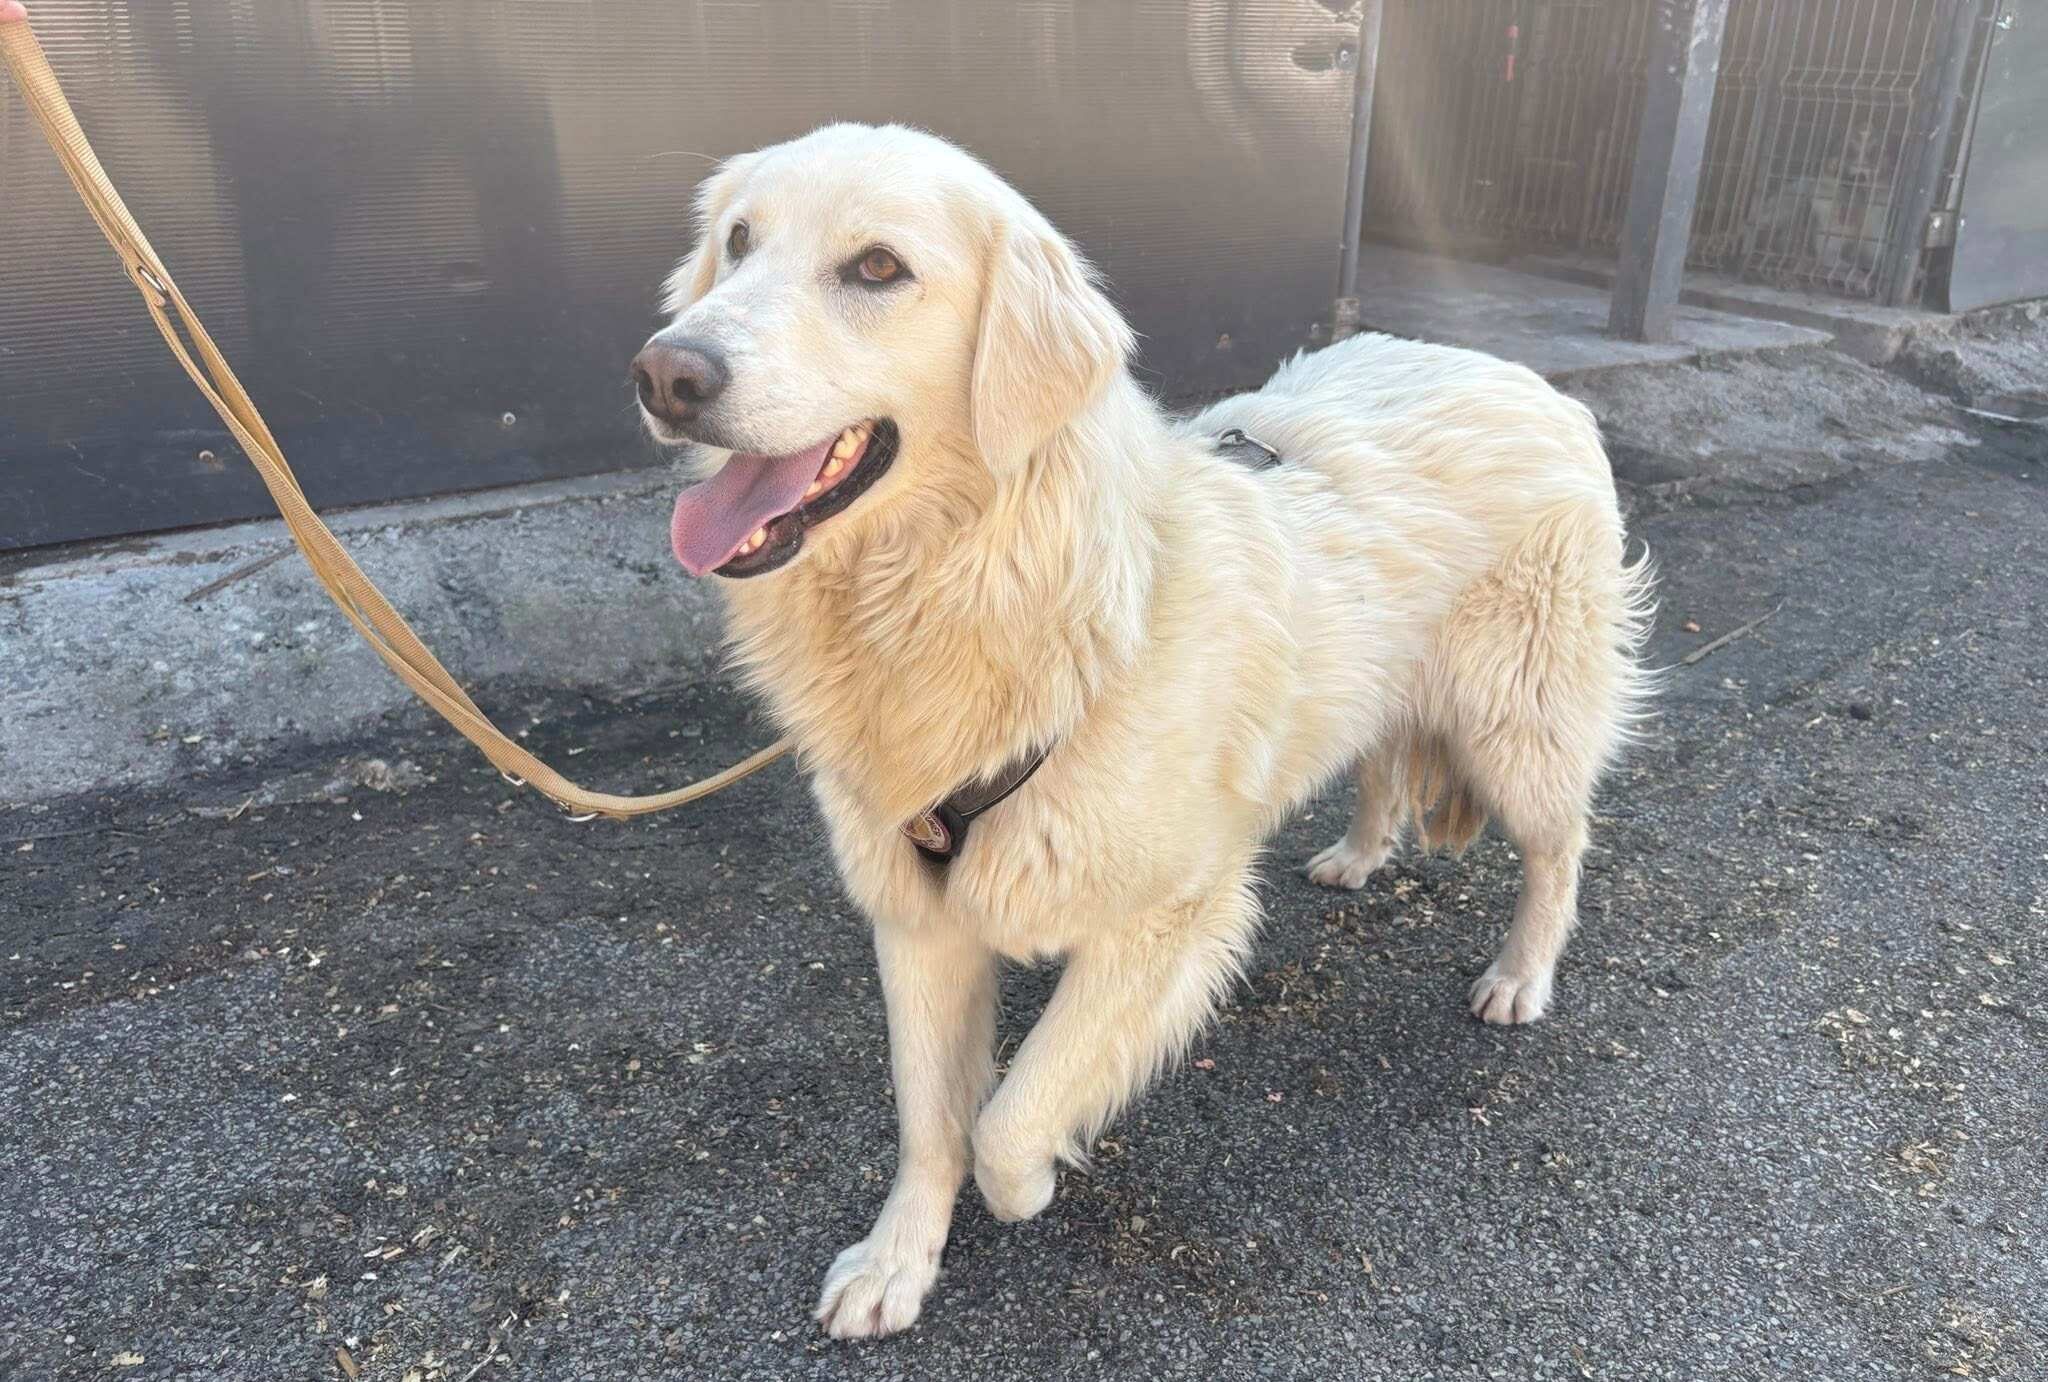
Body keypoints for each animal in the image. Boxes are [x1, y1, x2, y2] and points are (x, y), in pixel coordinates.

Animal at [631, 123, 1654, 1339]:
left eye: (877, 268)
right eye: (738, 241)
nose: (665, 374)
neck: (987, 595)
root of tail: (1518, 375)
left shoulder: (1165, 922)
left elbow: (1004, 1119)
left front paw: (1031, 1182)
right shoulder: (916, 915)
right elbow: (929, 1119)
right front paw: (897, 1261)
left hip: (1518, 722)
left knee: (1560, 849)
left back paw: (1519, 975)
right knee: (1379, 768)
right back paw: (1357, 856)